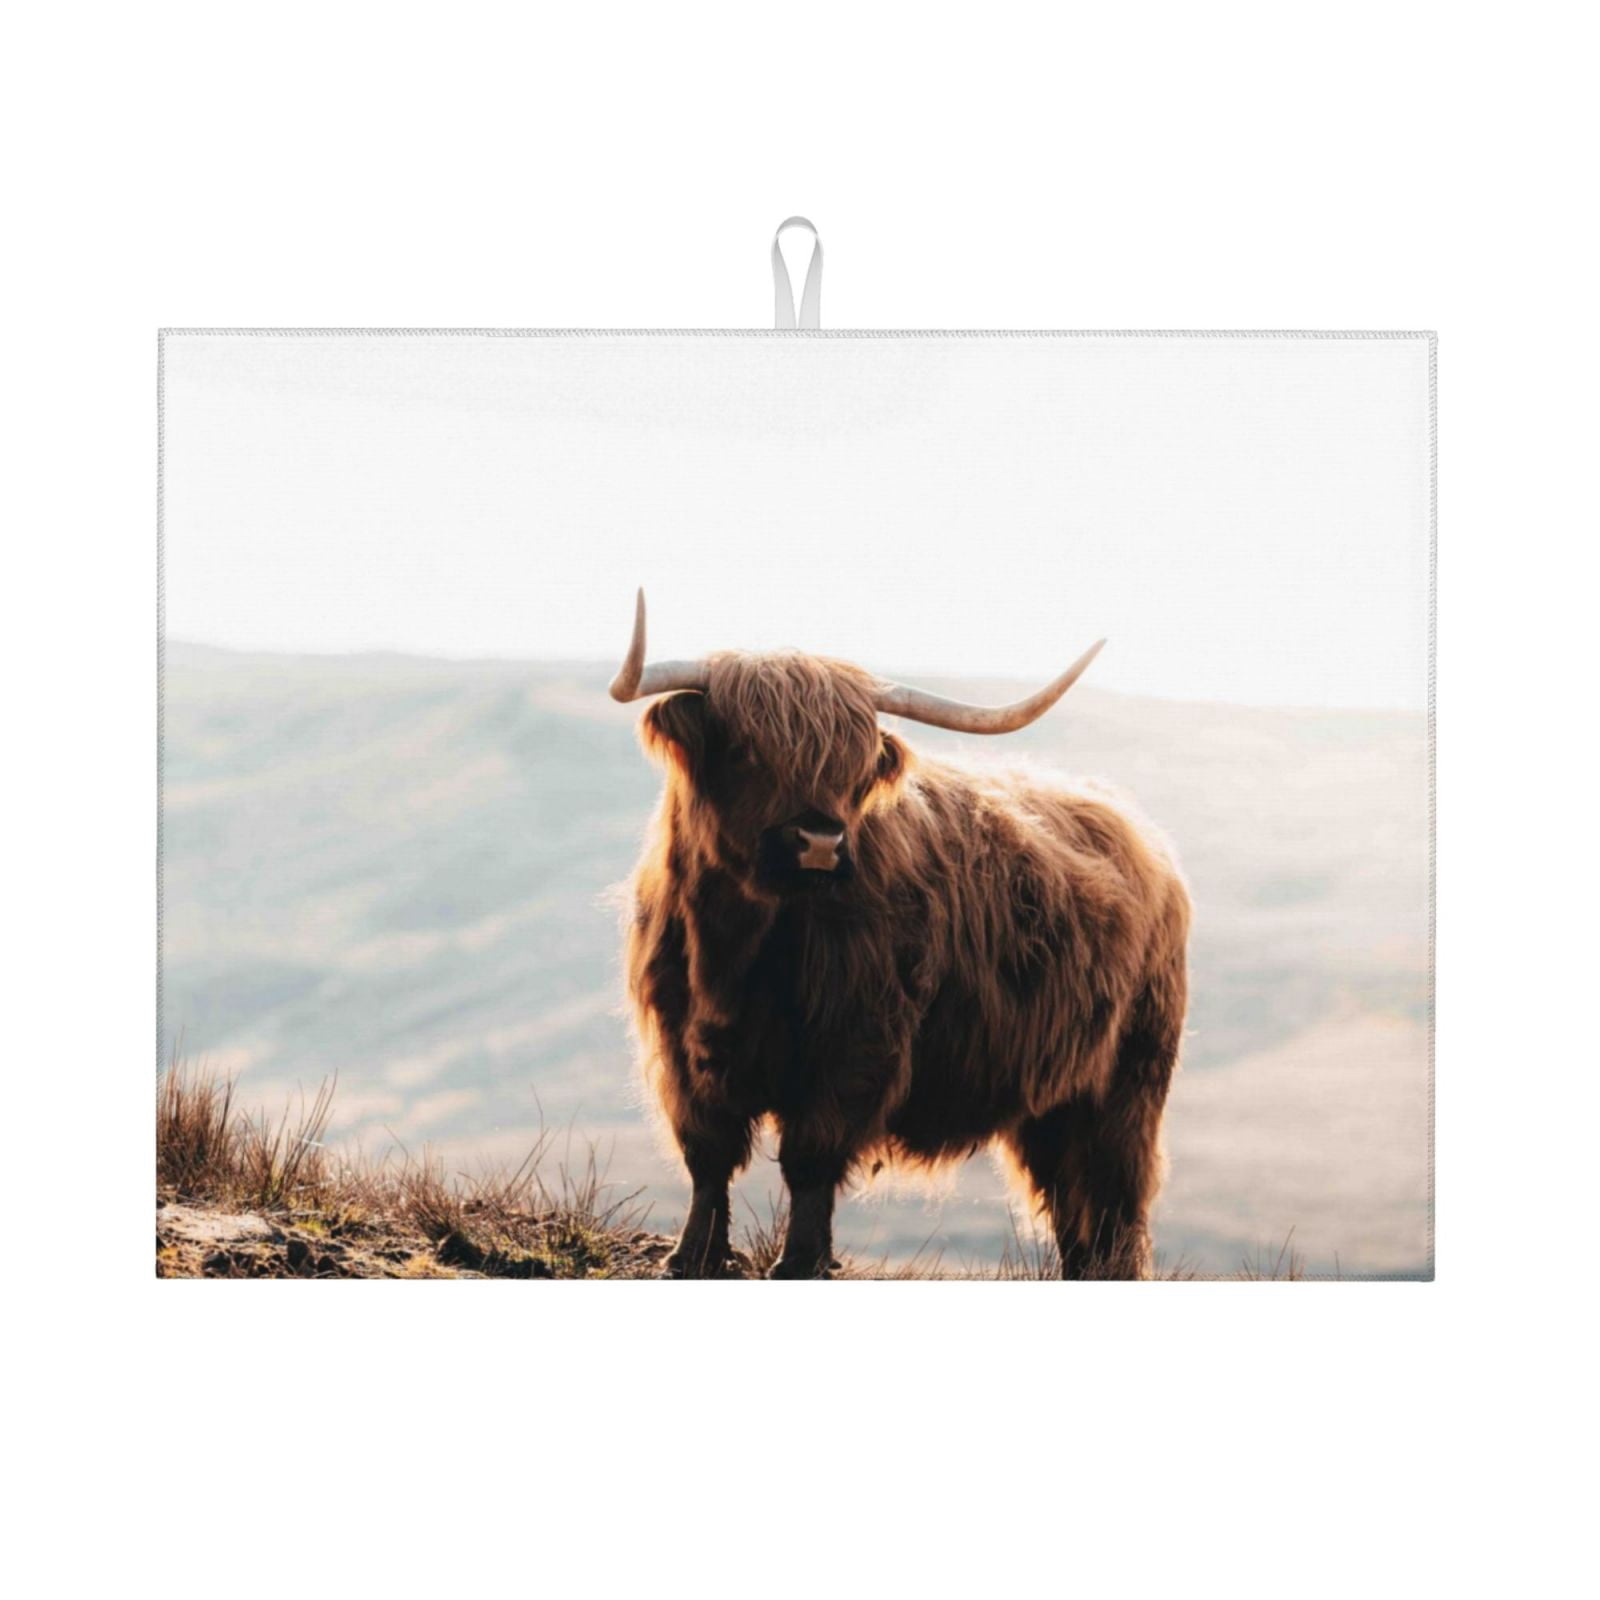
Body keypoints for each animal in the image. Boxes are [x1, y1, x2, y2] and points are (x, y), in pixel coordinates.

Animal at [613, 590, 1190, 1279]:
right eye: (747, 751)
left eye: (855, 767)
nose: (820, 841)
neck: (735, 947)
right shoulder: (681, 1044)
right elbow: (708, 1154)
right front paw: (692, 1256)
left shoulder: (856, 1043)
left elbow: (810, 1158)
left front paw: (800, 1261)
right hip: (1053, 1100)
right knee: (1069, 1203)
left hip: (1127, 1084)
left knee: (1111, 1199)